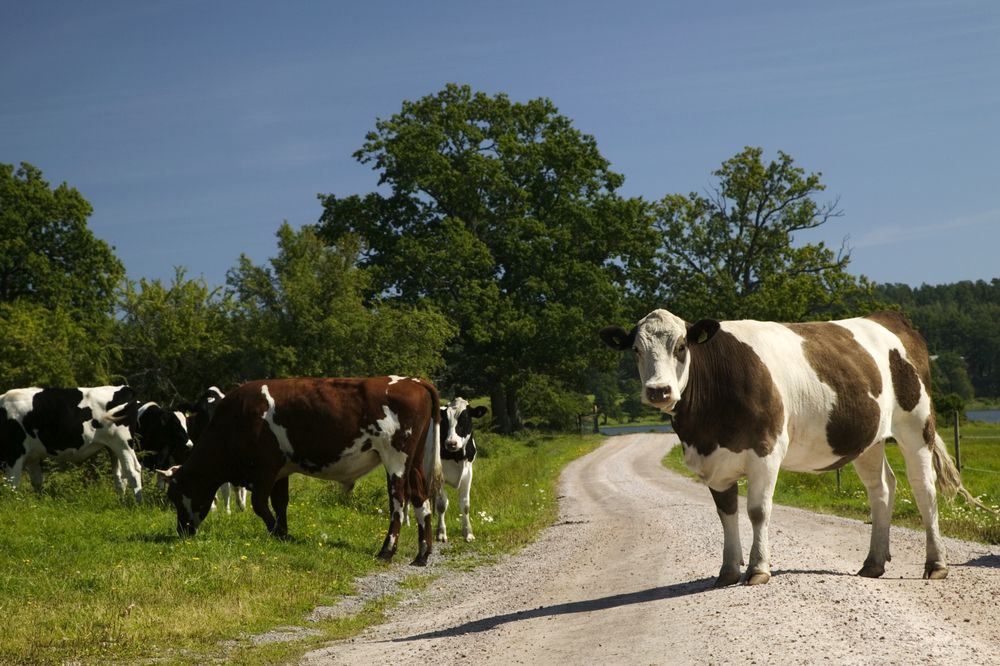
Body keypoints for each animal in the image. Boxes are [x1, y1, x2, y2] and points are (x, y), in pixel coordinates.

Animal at [0, 384, 145, 498]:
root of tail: (125, 387)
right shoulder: (32, 457)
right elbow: (37, 482)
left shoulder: (15, 452)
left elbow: (12, 483)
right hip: (113, 447)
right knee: (120, 477)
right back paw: (121, 501)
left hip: (123, 442)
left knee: (133, 471)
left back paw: (137, 504)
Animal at [159, 376, 442, 564]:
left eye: (175, 496)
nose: (182, 531)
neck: (236, 420)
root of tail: (413, 381)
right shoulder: (281, 471)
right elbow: (280, 502)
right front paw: (284, 532)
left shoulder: (266, 467)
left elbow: (260, 504)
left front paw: (276, 532)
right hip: (414, 461)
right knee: (421, 498)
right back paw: (422, 553)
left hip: (395, 458)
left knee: (399, 501)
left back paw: (387, 551)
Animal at [434, 396, 488, 544]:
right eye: (444, 421)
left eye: (465, 419)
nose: (451, 443)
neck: (457, 456)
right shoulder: (439, 475)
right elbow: (441, 504)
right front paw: (441, 533)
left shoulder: (468, 473)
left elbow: (465, 505)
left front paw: (468, 533)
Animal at [596, 308, 972, 584]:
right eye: (636, 350)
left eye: (681, 347)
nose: (659, 391)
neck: (704, 428)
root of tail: (887, 317)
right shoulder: (714, 461)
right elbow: (726, 513)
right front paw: (727, 571)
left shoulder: (766, 449)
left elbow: (757, 511)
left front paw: (758, 569)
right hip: (869, 439)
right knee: (881, 488)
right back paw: (873, 563)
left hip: (915, 424)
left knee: (924, 489)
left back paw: (936, 564)